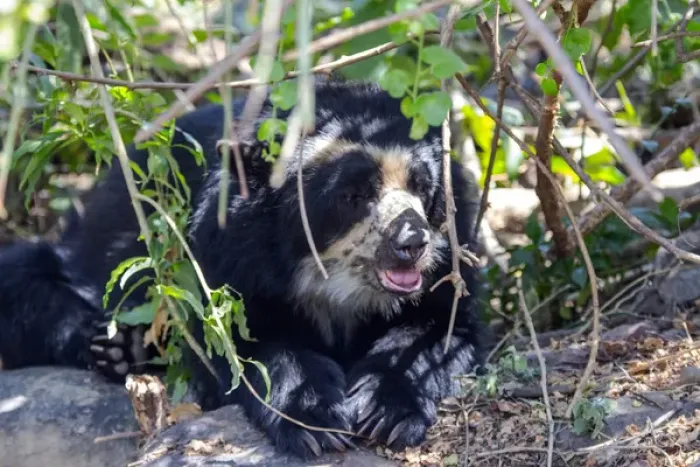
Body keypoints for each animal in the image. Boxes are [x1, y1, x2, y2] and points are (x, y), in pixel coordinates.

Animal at [0, 79, 485, 458]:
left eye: (421, 187)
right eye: (353, 195)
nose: (413, 243)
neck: (332, 281)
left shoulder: (451, 252)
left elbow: (439, 329)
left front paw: (386, 414)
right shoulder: (232, 257)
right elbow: (249, 346)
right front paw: (314, 422)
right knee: (23, 279)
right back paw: (116, 347)